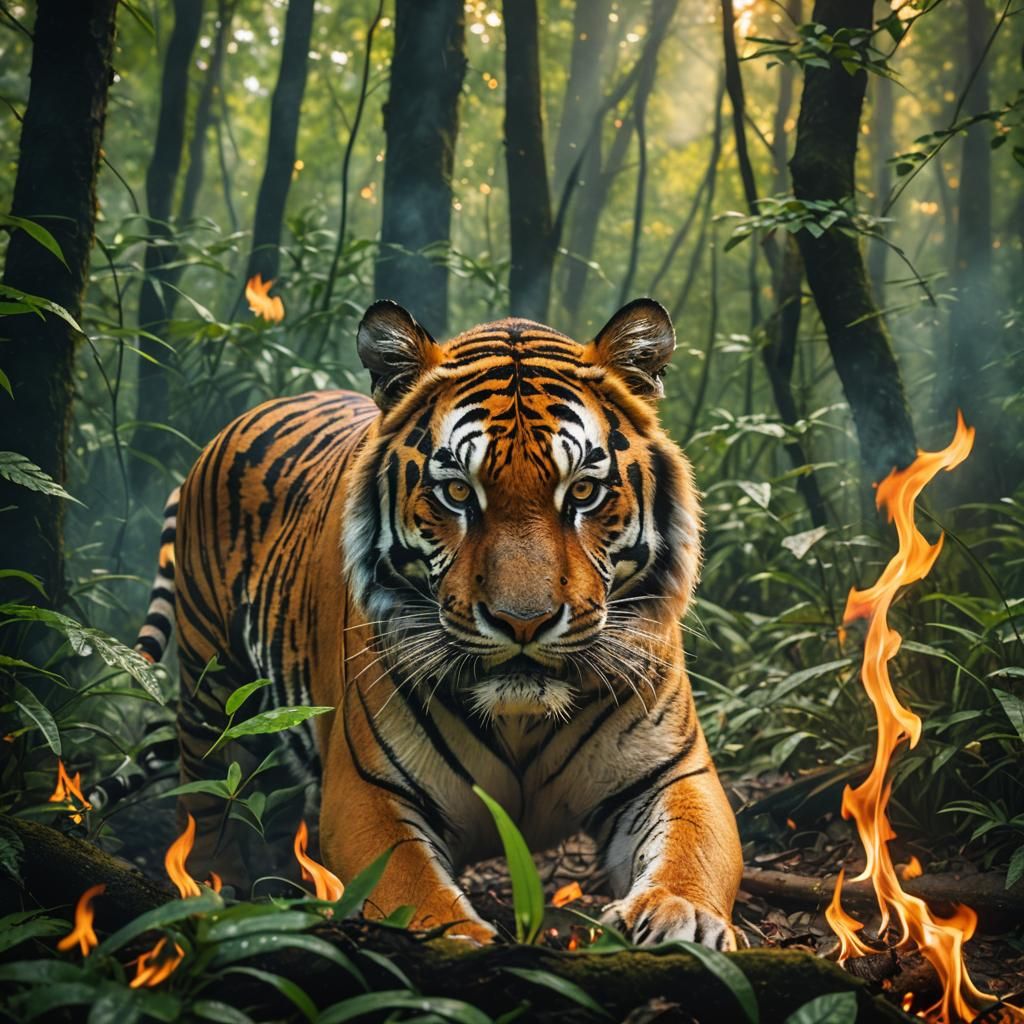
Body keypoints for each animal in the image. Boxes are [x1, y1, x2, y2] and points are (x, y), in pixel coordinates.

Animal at [135, 298, 742, 948]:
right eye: (457, 492)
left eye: (582, 491)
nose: (522, 622)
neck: (521, 720)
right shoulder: (369, 794)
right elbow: (411, 890)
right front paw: (461, 941)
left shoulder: (674, 772)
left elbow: (694, 846)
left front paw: (679, 914)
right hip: (211, 689)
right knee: (204, 805)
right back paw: (212, 897)